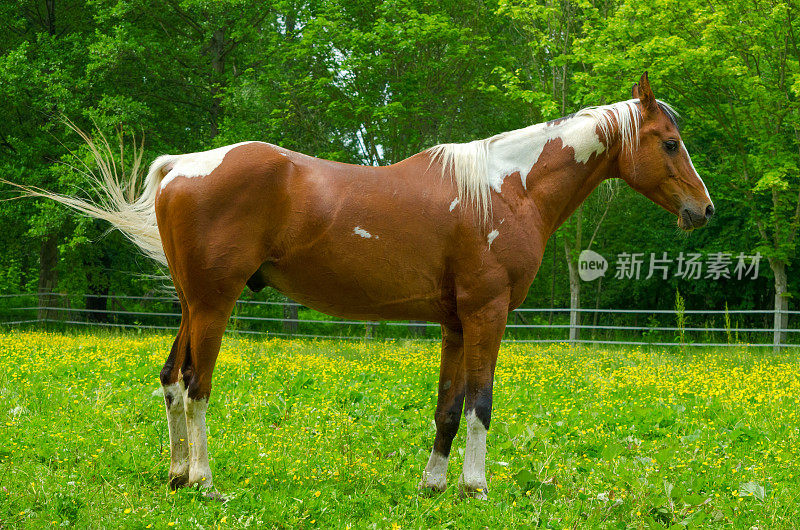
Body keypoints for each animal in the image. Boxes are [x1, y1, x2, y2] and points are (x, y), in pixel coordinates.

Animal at [23, 72, 712, 498]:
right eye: (670, 143)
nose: (702, 210)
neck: (505, 188)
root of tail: (182, 167)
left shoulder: (455, 323)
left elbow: (448, 407)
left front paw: (433, 485)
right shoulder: (487, 315)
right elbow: (481, 404)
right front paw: (474, 487)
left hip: (192, 305)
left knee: (170, 380)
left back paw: (175, 475)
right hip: (215, 305)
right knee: (195, 386)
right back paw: (205, 481)